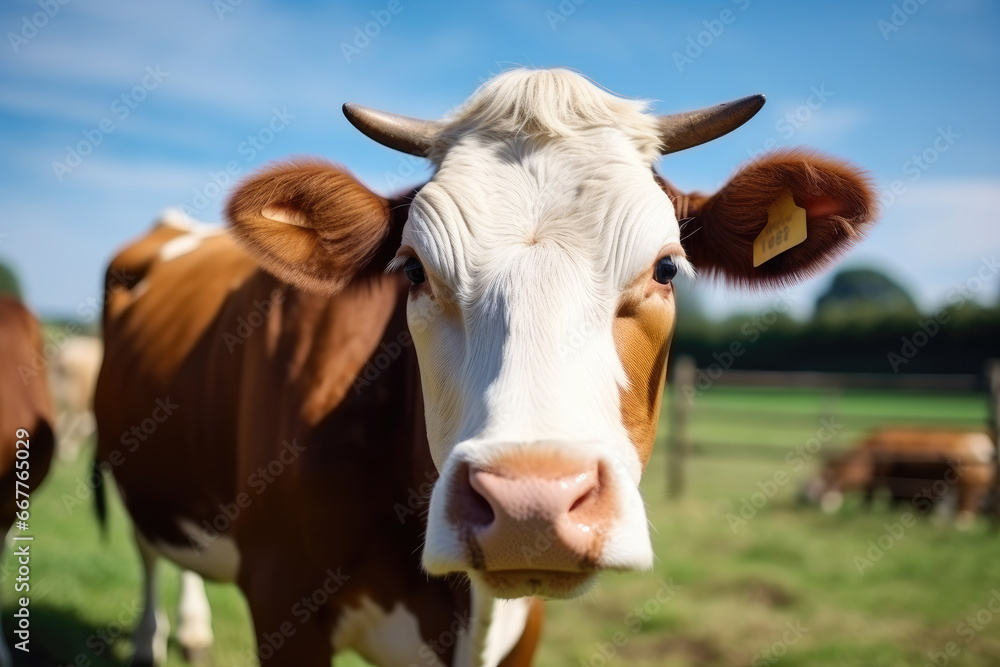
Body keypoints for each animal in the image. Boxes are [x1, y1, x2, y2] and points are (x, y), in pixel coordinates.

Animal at [800, 428, 996, 528]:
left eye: (822, 479)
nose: (805, 497)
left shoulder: (884, 478)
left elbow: (872, 497)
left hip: (970, 485)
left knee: (968, 505)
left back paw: (961, 526)